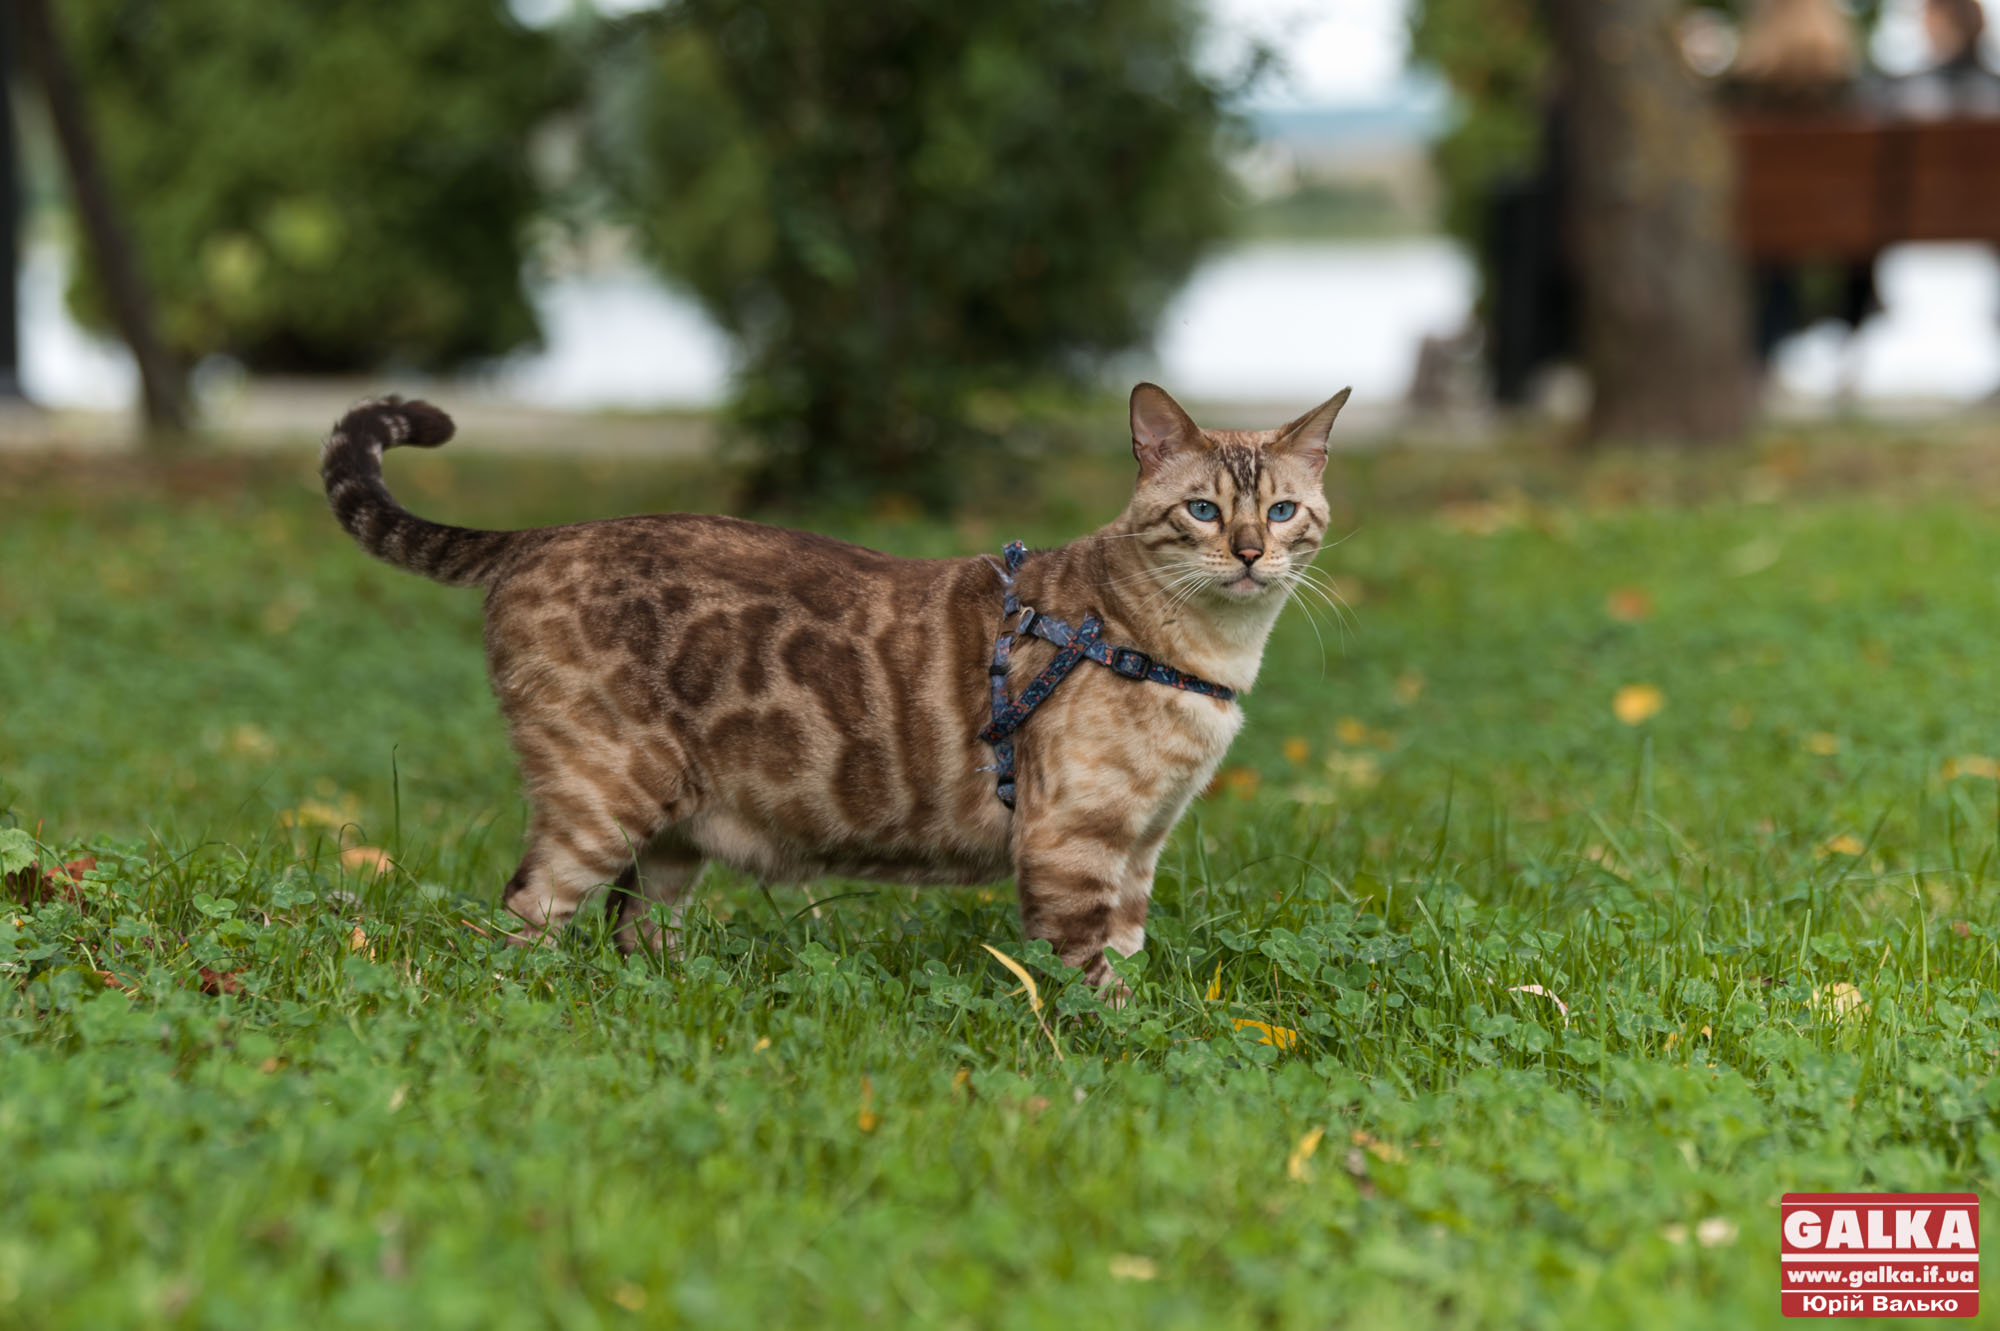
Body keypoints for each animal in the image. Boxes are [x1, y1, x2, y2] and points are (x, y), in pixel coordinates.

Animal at [320, 383, 1352, 983]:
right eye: (1203, 510)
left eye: (1283, 512)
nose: (1250, 554)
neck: (1208, 657)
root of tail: (550, 531)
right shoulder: (1075, 843)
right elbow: (1087, 986)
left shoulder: (1140, 851)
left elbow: (1128, 960)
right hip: (603, 795)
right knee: (517, 924)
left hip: (672, 828)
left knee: (633, 928)